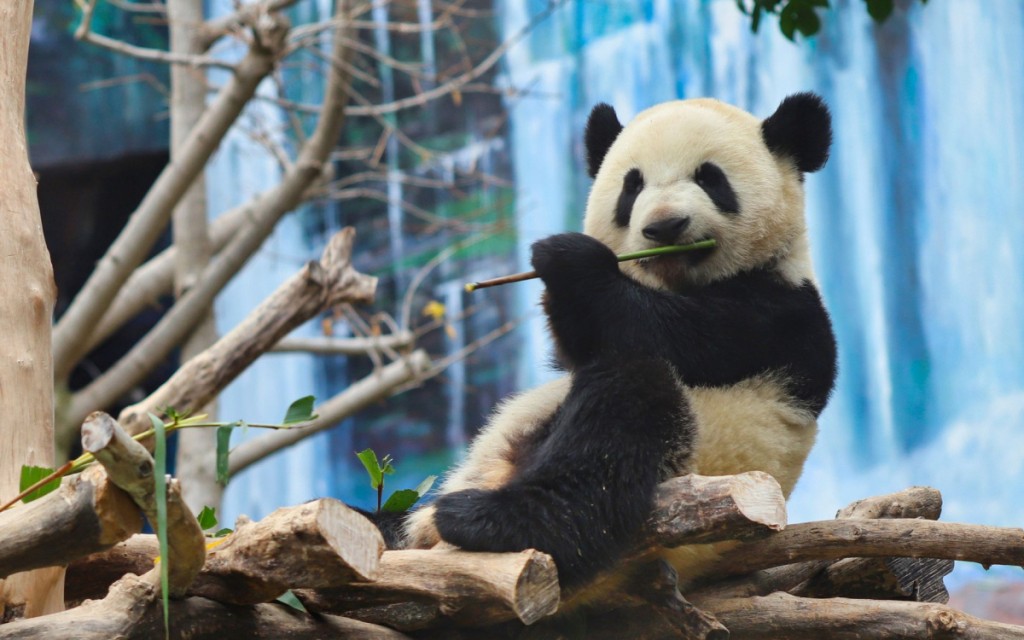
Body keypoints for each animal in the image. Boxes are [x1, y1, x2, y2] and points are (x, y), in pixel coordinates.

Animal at [397, 90, 831, 598]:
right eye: (632, 185)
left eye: (710, 178)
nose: (665, 227)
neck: (674, 278)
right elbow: (576, 346)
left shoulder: (779, 317)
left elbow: (663, 331)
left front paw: (567, 258)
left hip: (691, 459)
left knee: (619, 424)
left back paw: (486, 520)